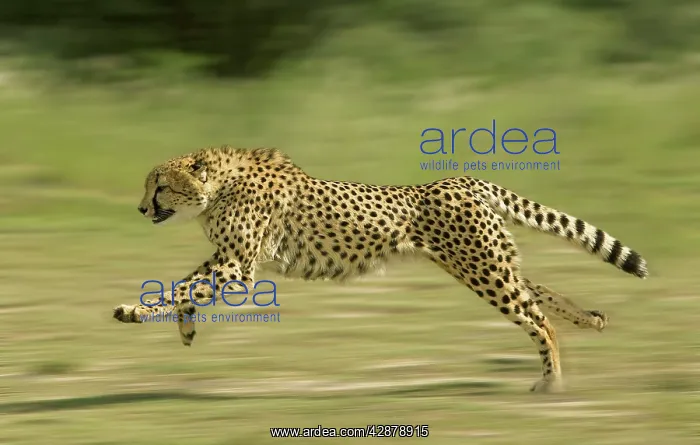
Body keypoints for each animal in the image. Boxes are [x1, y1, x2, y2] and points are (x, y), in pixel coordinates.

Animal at [112, 145, 648, 393]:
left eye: (159, 185)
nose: (139, 208)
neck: (218, 187)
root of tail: (462, 179)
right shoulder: (228, 259)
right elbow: (186, 286)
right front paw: (183, 328)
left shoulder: (237, 264)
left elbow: (179, 288)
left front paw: (135, 312)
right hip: (485, 261)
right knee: (539, 292)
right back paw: (590, 319)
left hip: (483, 269)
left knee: (537, 318)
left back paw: (552, 381)